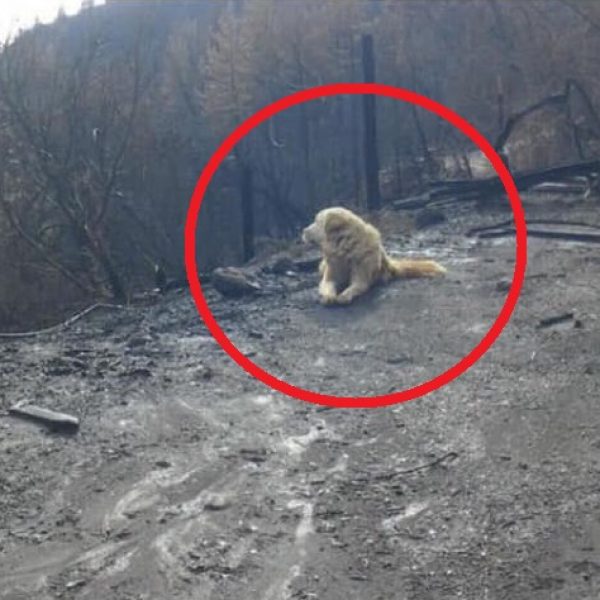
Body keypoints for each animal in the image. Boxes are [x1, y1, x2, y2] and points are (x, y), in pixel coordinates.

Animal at [304, 209, 446, 308]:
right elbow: (327, 285)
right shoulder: (332, 274)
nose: (303, 230)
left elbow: (354, 286)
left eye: (316, 222)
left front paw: (344, 295)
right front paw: (328, 297)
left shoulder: (361, 278)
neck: (345, 248)